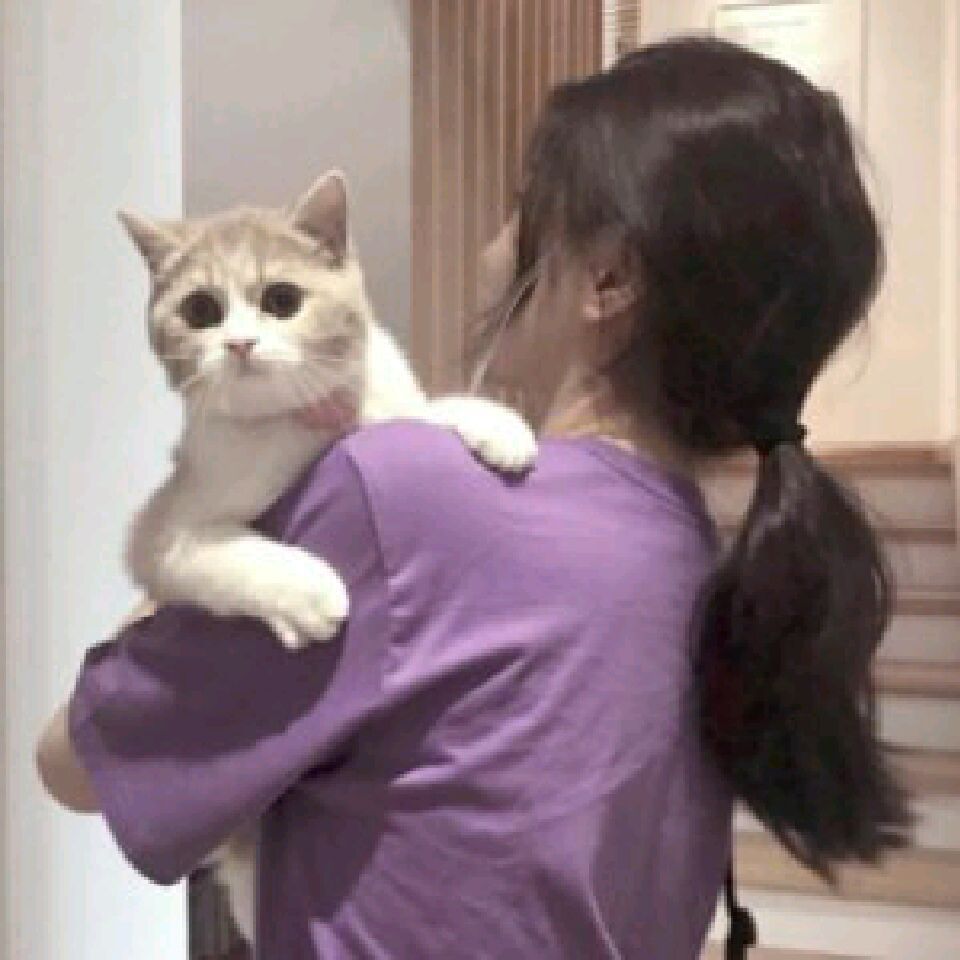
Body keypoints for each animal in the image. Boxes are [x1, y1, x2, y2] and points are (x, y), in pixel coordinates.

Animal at [119, 169, 535, 943]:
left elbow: (418, 412)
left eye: (281, 299)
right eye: (200, 310)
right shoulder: (162, 530)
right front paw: (305, 592)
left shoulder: (381, 407)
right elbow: (225, 552)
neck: (306, 430)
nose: (240, 343)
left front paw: (496, 424)